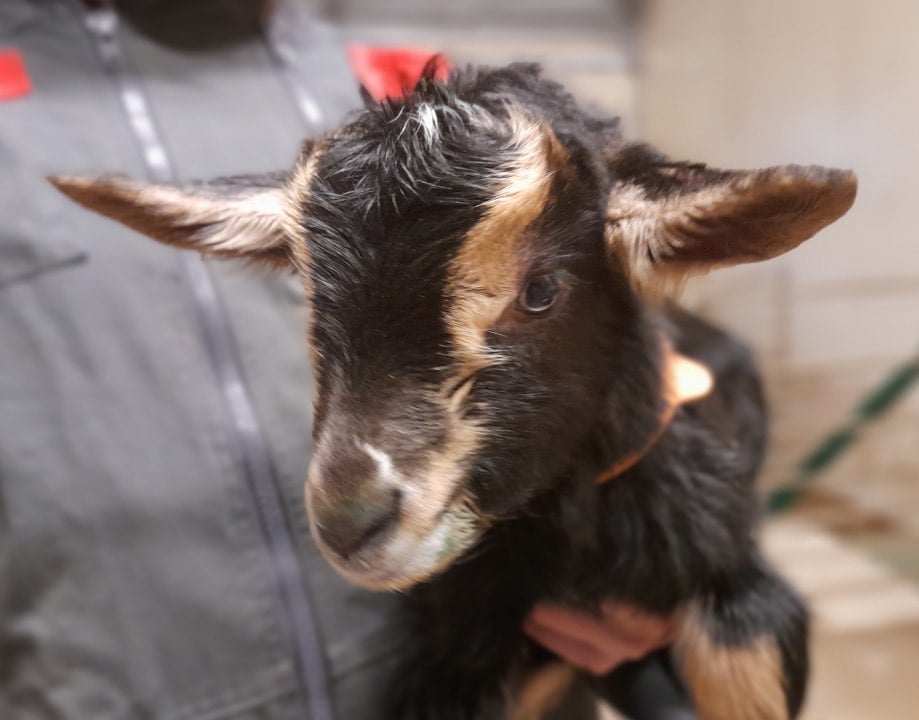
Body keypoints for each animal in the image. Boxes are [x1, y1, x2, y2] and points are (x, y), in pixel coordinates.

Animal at [52, 63, 856, 720]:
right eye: (310, 292)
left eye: (541, 290)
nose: (349, 521)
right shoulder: (460, 650)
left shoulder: (724, 561)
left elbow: (742, 662)